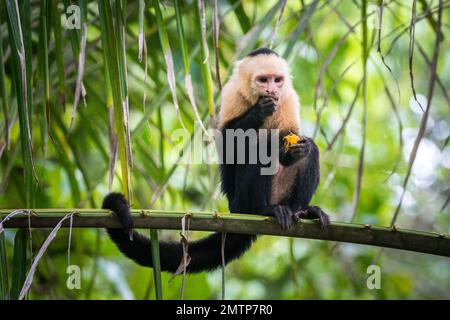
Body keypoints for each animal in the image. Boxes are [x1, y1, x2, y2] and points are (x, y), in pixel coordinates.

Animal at [105, 47, 330, 272]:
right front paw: (259, 112)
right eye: (263, 80)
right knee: (258, 152)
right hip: (241, 202)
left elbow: (291, 138)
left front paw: (296, 149)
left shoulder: (289, 98)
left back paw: (302, 211)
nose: (271, 91)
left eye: (277, 80)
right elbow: (230, 146)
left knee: (310, 154)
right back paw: (264, 209)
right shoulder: (232, 94)